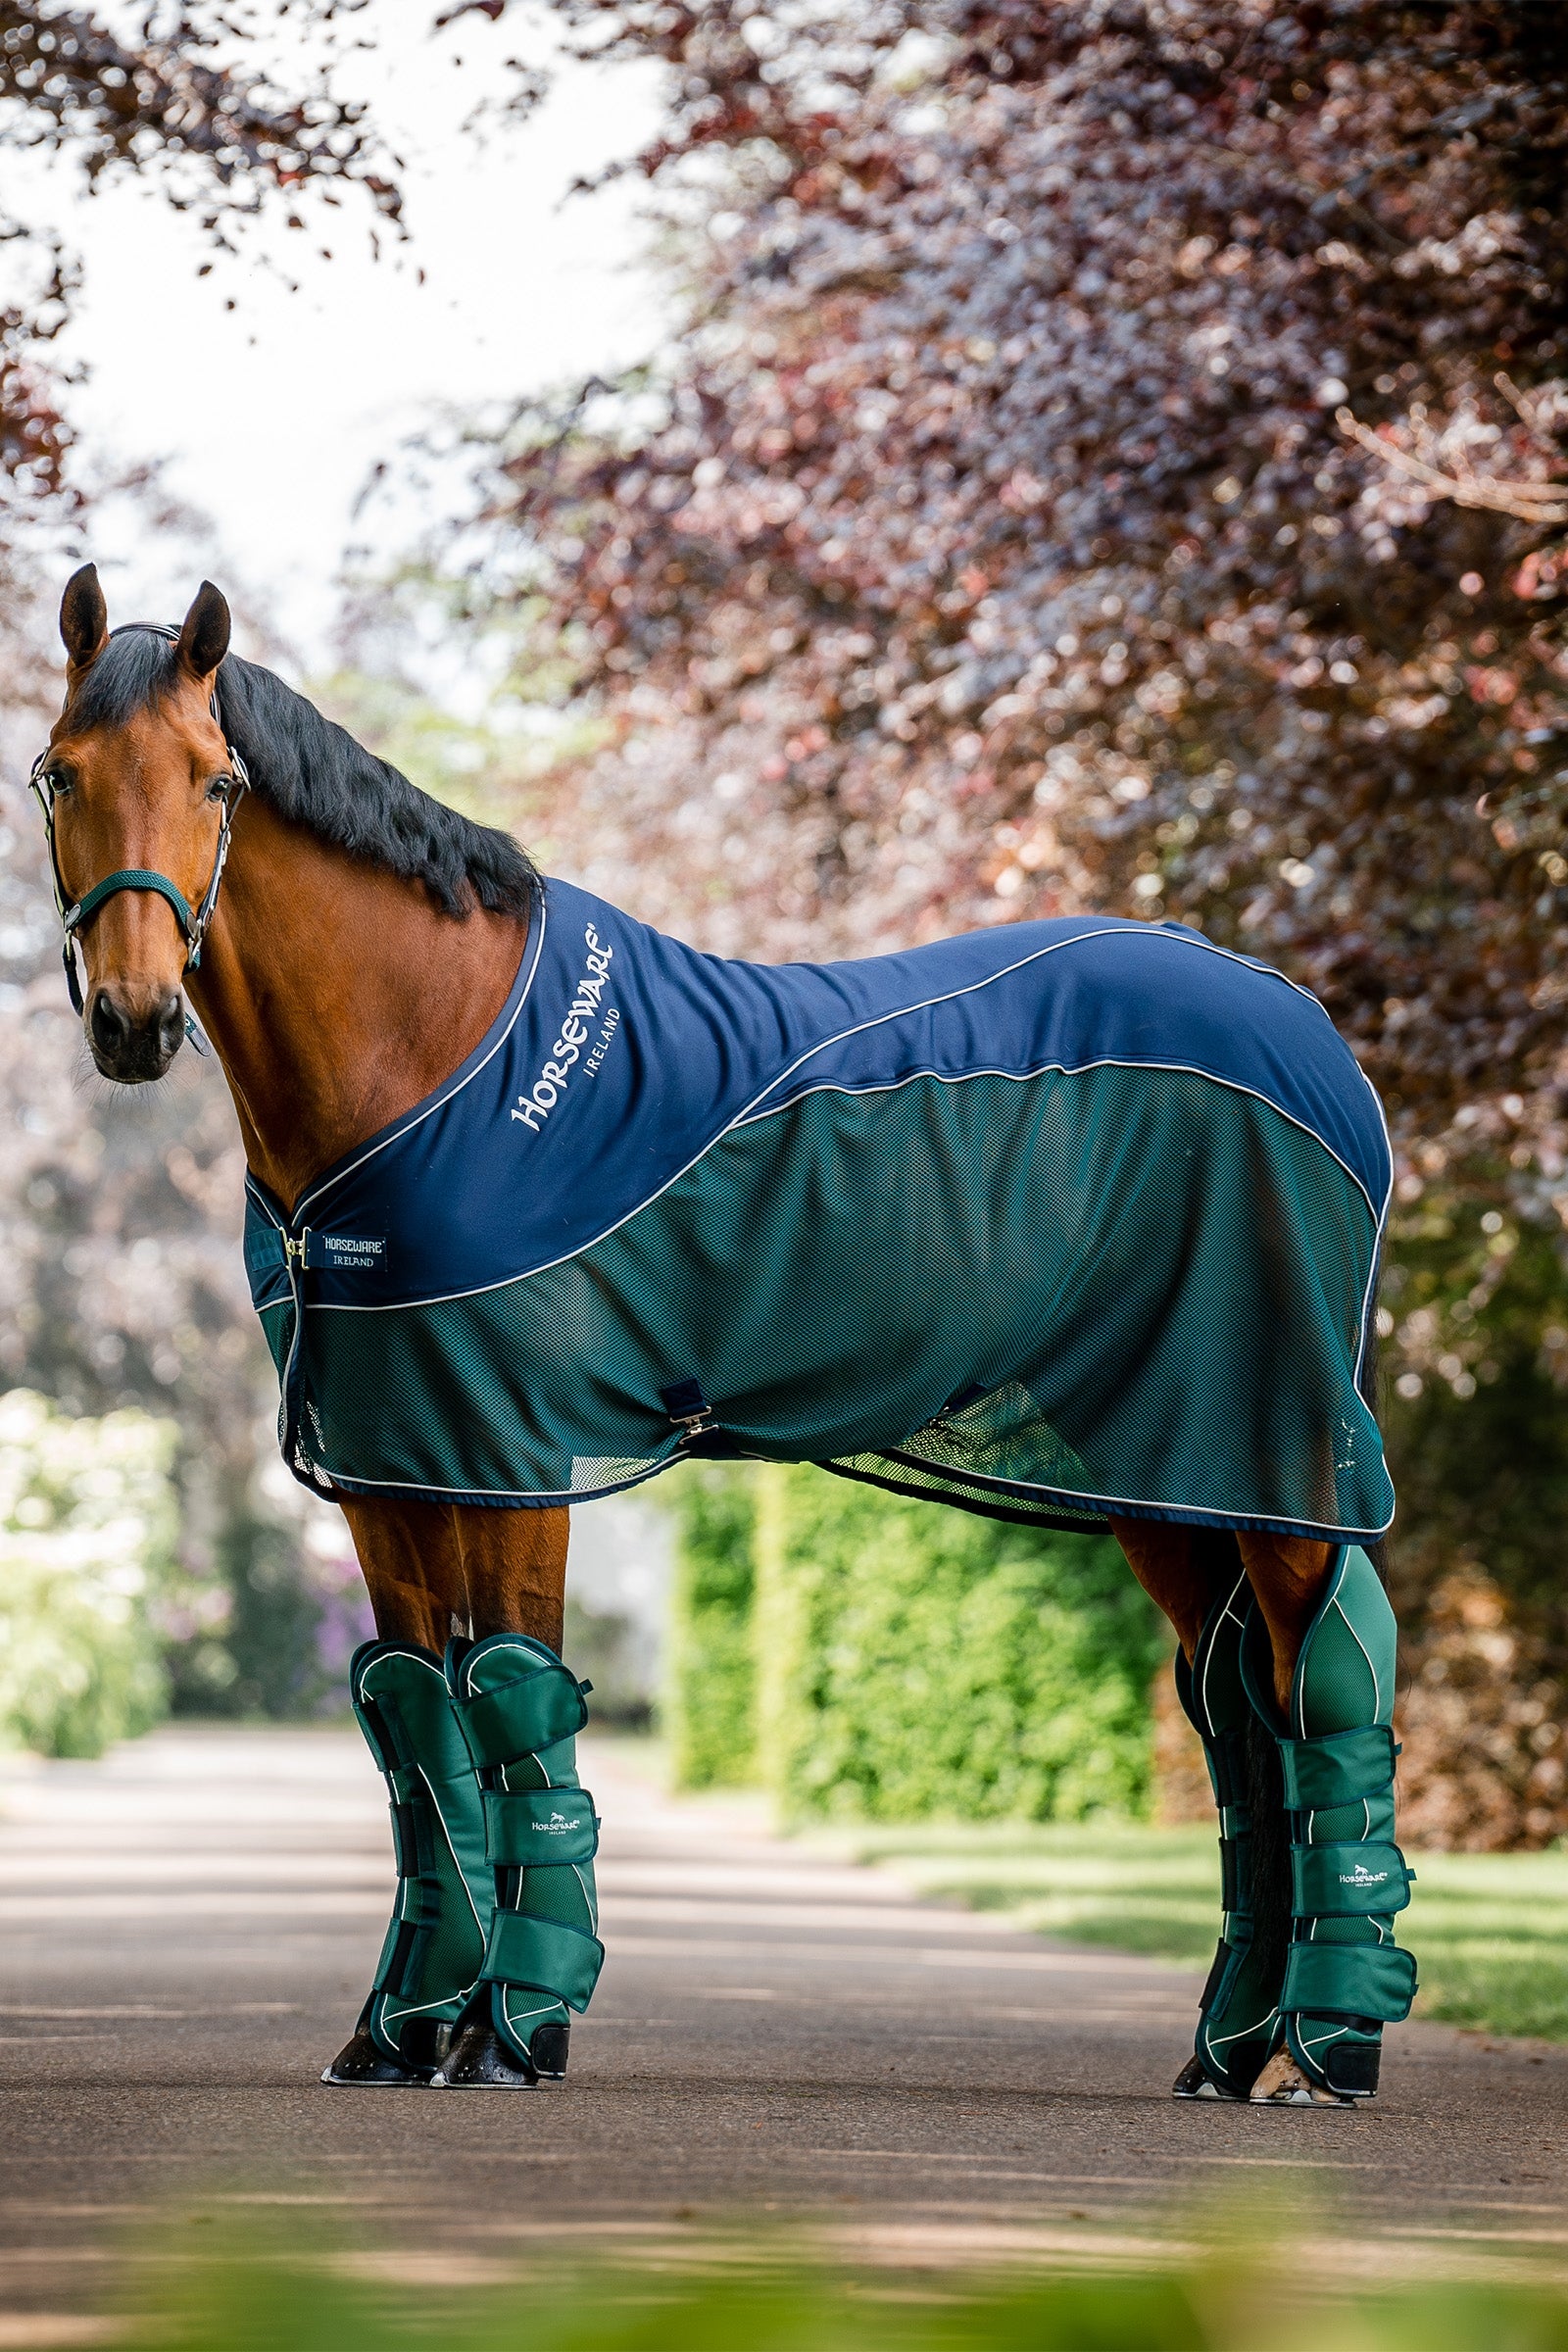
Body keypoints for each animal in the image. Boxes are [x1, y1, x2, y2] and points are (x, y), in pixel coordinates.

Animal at [31, 565, 1416, 2104]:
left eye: (216, 781)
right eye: (58, 772)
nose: (134, 1020)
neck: (431, 1057)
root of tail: (1311, 1039)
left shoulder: (509, 1461)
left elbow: (512, 1708)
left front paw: (510, 2032)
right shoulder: (393, 1463)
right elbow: (418, 1723)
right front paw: (400, 2034)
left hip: (1263, 1438)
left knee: (1323, 1691)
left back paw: (1325, 2052)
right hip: (1160, 1464)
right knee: (1239, 1716)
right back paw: (1229, 2053)